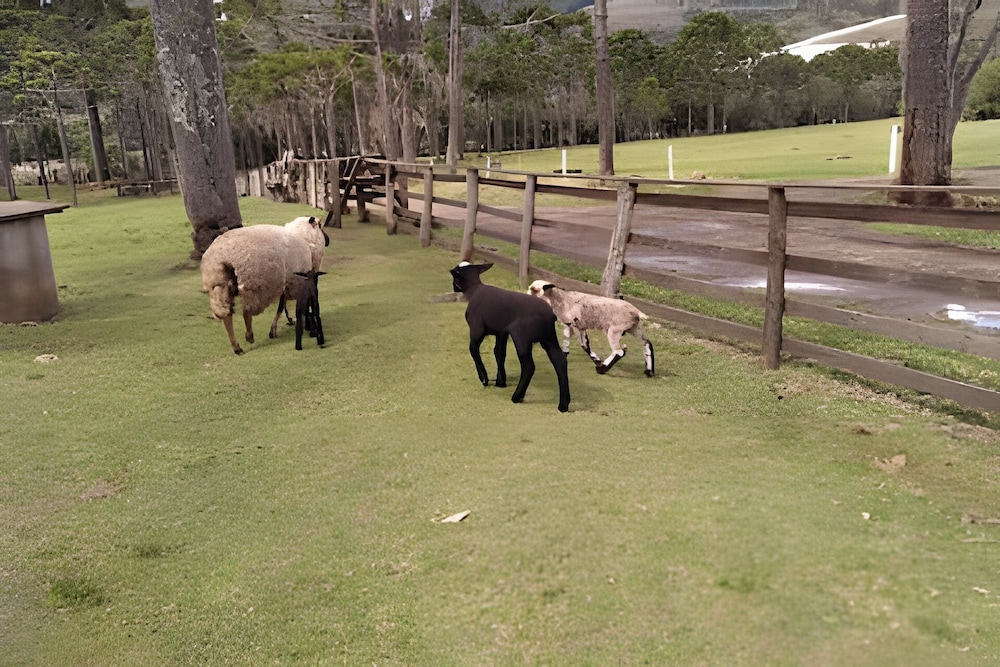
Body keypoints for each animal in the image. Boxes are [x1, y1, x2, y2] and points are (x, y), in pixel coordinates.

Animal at [201, 216, 329, 354]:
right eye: (320, 225)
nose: (328, 240)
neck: (304, 237)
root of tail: (224, 257)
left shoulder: (286, 284)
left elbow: (282, 305)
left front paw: (278, 327)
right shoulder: (297, 283)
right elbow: (290, 305)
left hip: (218, 284)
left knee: (226, 313)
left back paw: (236, 346)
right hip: (253, 286)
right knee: (247, 312)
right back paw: (249, 336)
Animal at [451, 262, 570, 412]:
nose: (453, 287)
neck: (474, 289)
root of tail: (549, 315)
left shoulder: (477, 328)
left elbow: (473, 350)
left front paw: (484, 378)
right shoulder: (502, 332)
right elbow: (499, 353)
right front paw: (500, 381)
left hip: (521, 337)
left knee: (529, 366)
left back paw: (517, 397)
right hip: (548, 338)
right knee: (560, 361)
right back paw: (563, 405)